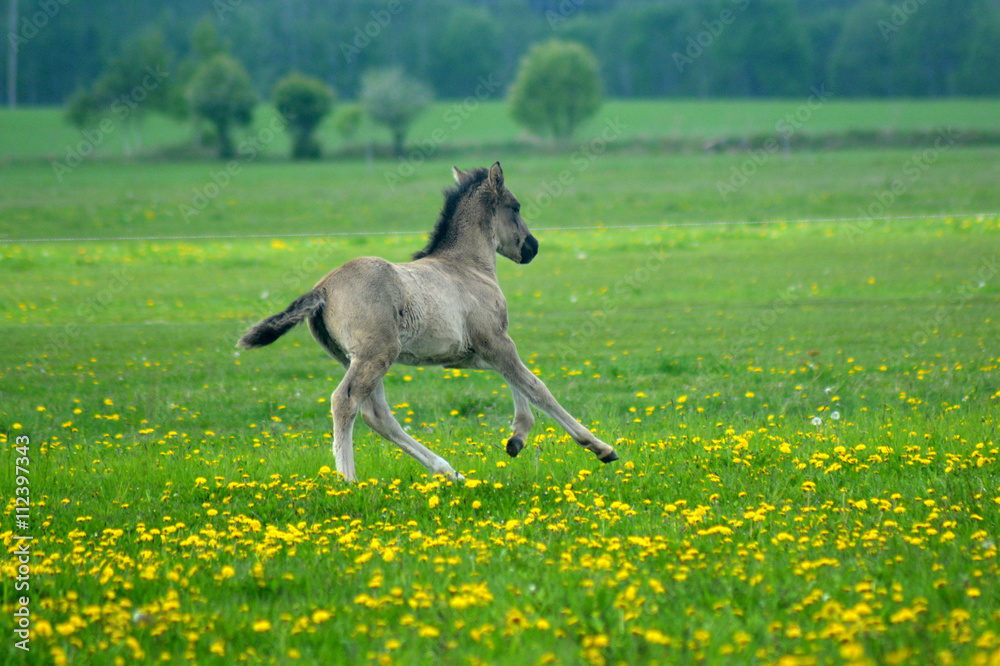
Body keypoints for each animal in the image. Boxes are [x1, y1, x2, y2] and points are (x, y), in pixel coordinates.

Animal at [237, 162, 619, 482]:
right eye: (516, 207)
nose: (532, 247)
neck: (467, 266)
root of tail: (324, 288)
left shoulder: (470, 353)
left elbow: (515, 380)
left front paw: (517, 438)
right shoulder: (495, 340)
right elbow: (536, 386)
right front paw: (599, 447)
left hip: (356, 358)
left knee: (377, 415)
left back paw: (449, 472)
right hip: (375, 355)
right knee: (345, 402)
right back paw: (348, 481)